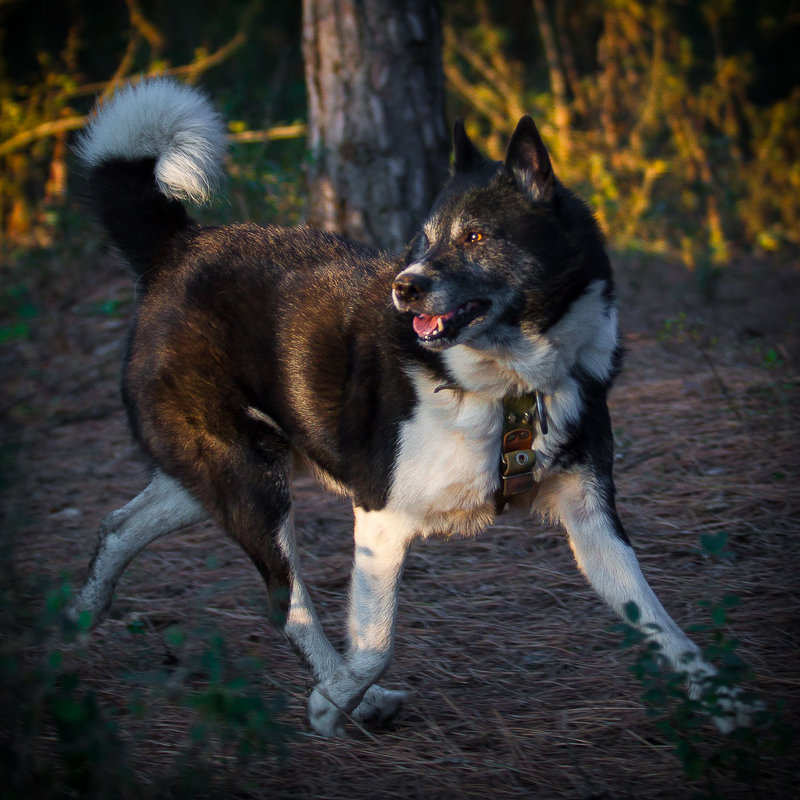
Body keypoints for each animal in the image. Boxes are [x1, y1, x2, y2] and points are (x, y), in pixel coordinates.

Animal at [67, 78, 752, 736]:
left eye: (475, 236)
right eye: (422, 240)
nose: (405, 286)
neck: (509, 385)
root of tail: (177, 246)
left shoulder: (592, 522)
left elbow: (665, 624)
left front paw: (725, 706)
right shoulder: (380, 515)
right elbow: (375, 648)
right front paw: (331, 708)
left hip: (223, 472)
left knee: (118, 526)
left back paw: (77, 615)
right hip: (250, 486)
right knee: (288, 603)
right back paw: (352, 702)